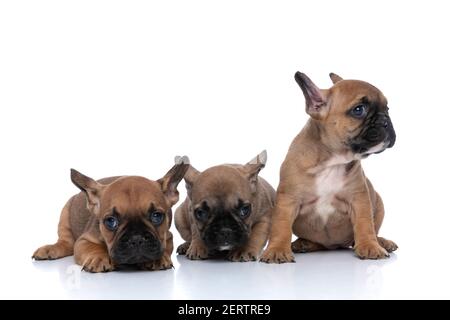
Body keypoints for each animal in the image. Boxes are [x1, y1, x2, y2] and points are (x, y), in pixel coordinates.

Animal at [32, 159, 188, 272]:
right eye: (111, 221)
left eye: (157, 216)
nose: (136, 238)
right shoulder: (84, 240)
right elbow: (93, 248)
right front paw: (99, 258)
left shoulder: (168, 237)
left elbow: (165, 247)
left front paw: (158, 259)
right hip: (65, 214)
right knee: (66, 243)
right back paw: (50, 249)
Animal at [260, 72, 398, 262]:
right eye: (358, 110)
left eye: (387, 109)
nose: (385, 120)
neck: (332, 162)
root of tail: (335, 246)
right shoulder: (288, 201)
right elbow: (281, 226)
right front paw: (277, 249)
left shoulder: (359, 200)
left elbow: (364, 225)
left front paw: (370, 246)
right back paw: (303, 243)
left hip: (379, 203)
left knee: (371, 232)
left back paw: (382, 242)